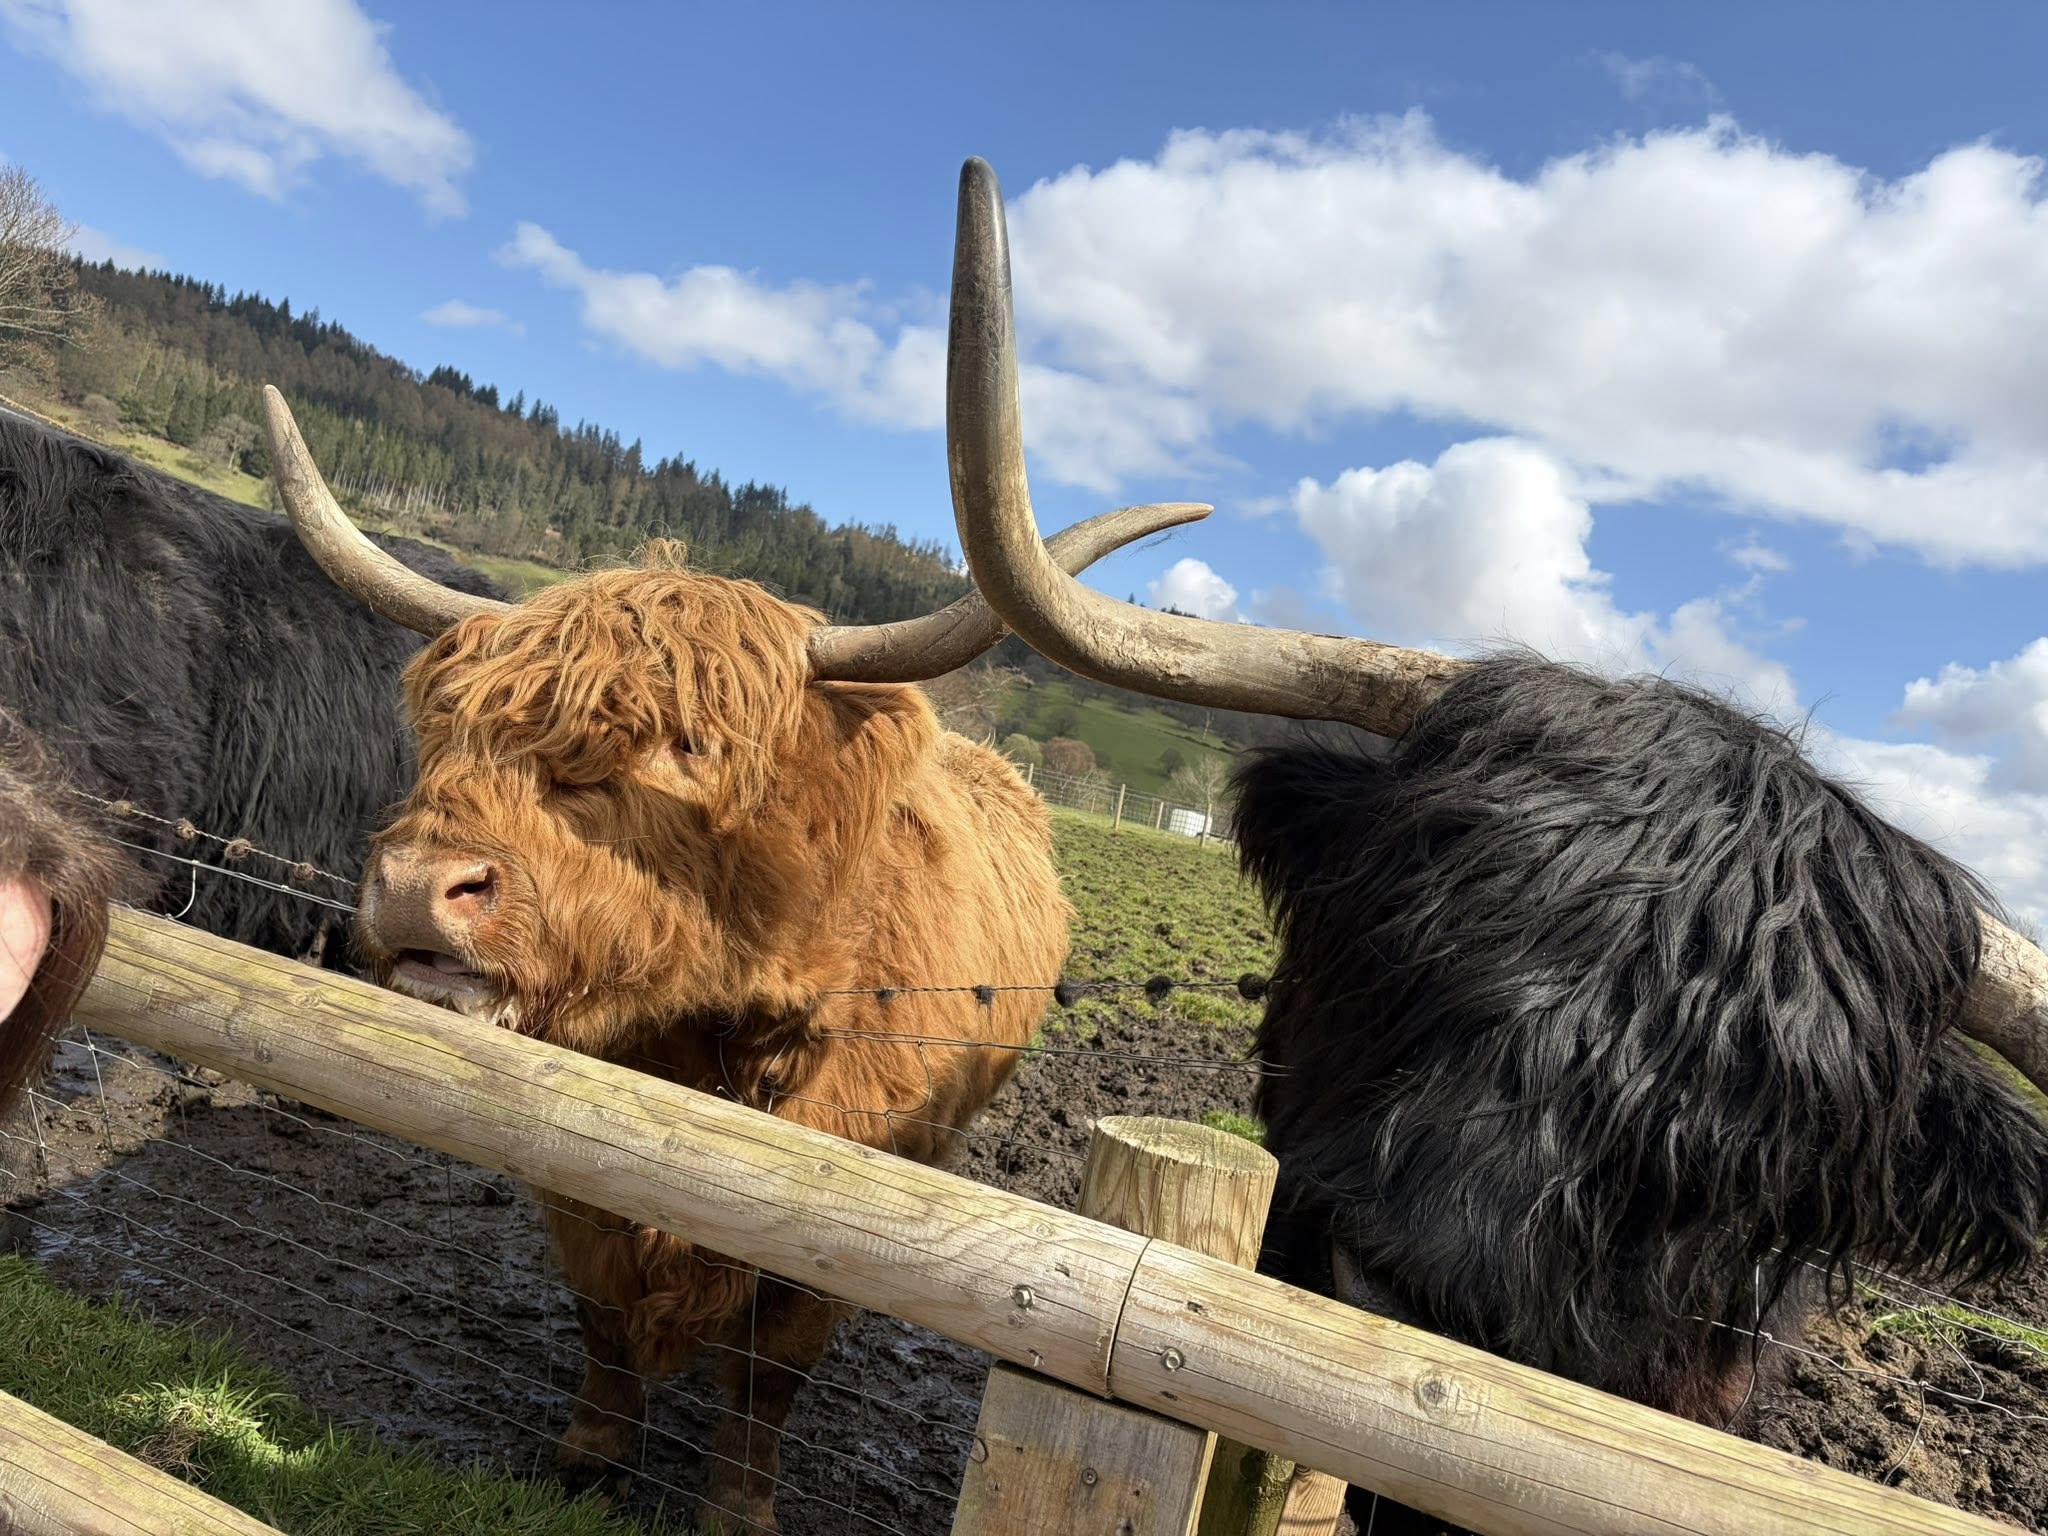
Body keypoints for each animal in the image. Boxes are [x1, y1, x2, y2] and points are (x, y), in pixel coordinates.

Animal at [258, 384, 1207, 1533]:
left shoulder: (835, 1233)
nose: (414, 885)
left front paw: (740, 1509)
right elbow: (603, 1323)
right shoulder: (574, 1181)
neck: (707, 1047)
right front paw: (586, 1461)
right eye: (449, 727)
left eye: (689, 745)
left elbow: (767, 1380)